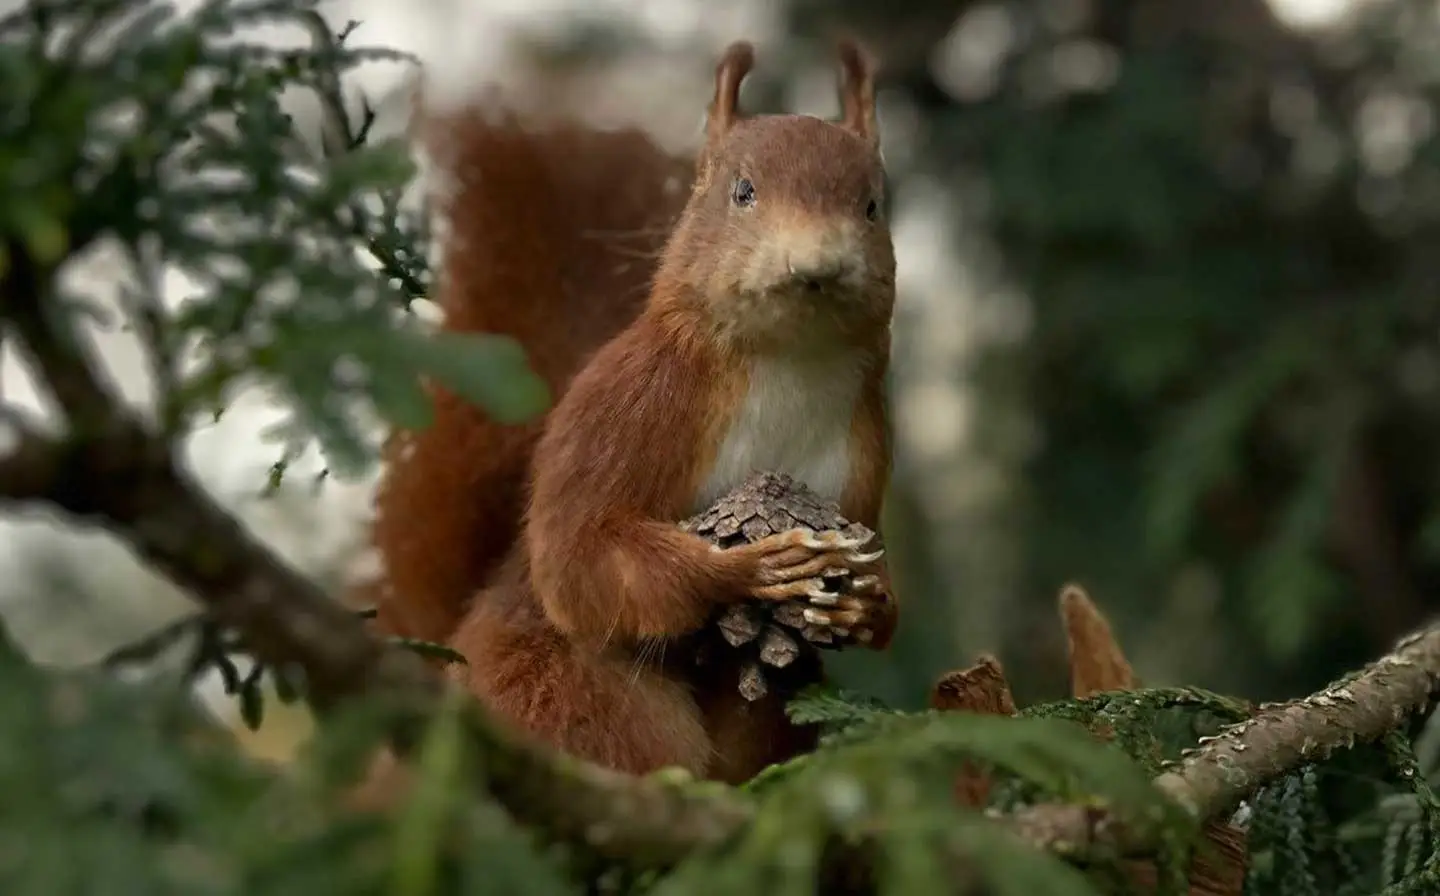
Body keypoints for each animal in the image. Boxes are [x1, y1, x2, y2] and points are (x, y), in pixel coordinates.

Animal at [365, 42, 892, 783]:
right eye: (743, 192)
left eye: (872, 207)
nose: (816, 265)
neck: (791, 362)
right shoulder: (636, 402)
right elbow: (579, 551)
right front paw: (746, 568)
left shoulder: (865, 453)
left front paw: (869, 598)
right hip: (575, 695)